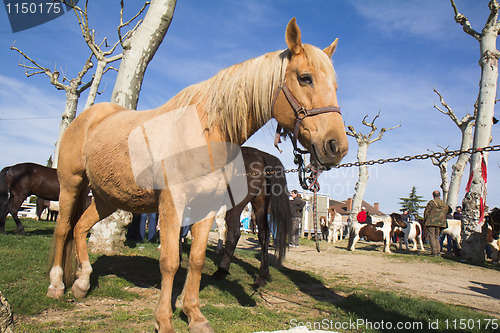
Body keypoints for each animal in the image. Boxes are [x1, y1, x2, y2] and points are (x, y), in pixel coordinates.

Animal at [212, 147, 292, 286]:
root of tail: (262, 155)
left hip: (236, 203)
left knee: (234, 233)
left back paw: (222, 270)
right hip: (260, 205)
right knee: (264, 234)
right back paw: (262, 277)